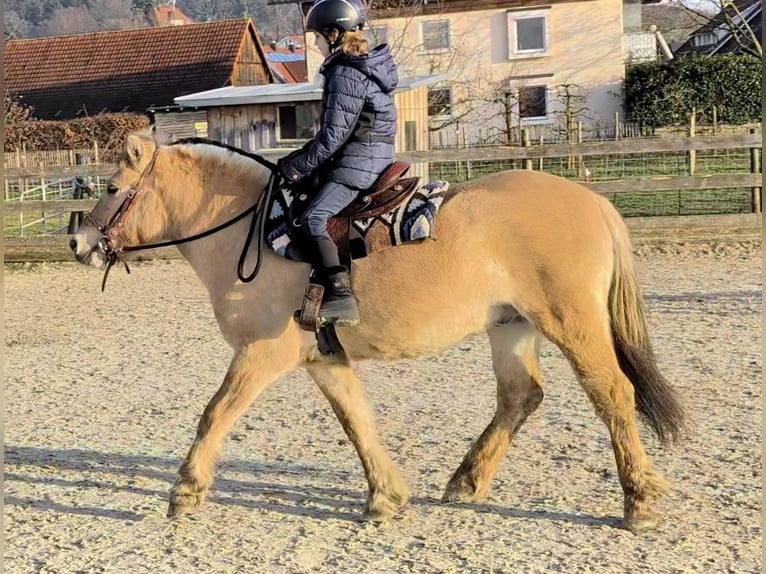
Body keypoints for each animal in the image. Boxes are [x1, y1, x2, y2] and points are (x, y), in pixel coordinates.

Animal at [68, 132, 687, 533]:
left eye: (110, 187)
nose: (77, 242)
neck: (252, 230)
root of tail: (593, 201)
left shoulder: (261, 353)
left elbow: (214, 414)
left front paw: (185, 490)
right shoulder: (322, 359)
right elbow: (357, 423)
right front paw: (386, 497)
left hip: (572, 322)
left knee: (612, 394)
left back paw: (638, 501)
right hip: (511, 327)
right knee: (520, 397)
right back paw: (467, 481)